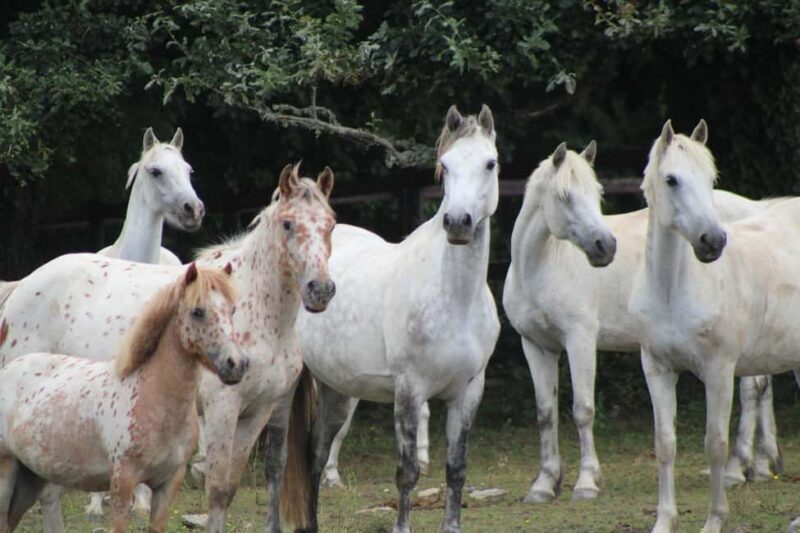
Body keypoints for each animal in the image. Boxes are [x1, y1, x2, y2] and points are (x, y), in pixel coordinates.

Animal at [0, 264, 247, 533]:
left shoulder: (168, 484)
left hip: (30, 478)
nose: (236, 364)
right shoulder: (123, 481)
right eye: (197, 312)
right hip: (7, 472)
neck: (152, 396)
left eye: (233, 310)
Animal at [296, 105, 501, 533]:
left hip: (335, 390)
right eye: (445, 165)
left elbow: (456, 469)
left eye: (490, 163)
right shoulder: (409, 390)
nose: (458, 222)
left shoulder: (469, 391)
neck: (454, 299)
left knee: (315, 456)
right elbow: (407, 472)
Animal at [502, 131, 790, 503]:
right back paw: (762, 464)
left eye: (597, 194)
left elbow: (583, 410)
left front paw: (587, 482)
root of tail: (755, 210)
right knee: (762, 387)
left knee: (753, 390)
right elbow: (546, 413)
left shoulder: (580, 339)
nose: (605, 246)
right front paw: (544, 484)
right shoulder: (536, 346)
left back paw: (736, 469)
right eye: (565, 196)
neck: (540, 266)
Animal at [628, 119, 800, 532]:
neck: (672, 289)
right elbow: (665, 443)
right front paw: (664, 521)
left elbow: (715, 444)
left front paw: (714, 520)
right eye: (672, 179)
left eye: (711, 179)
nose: (714, 241)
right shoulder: (657, 369)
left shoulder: (719, 371)